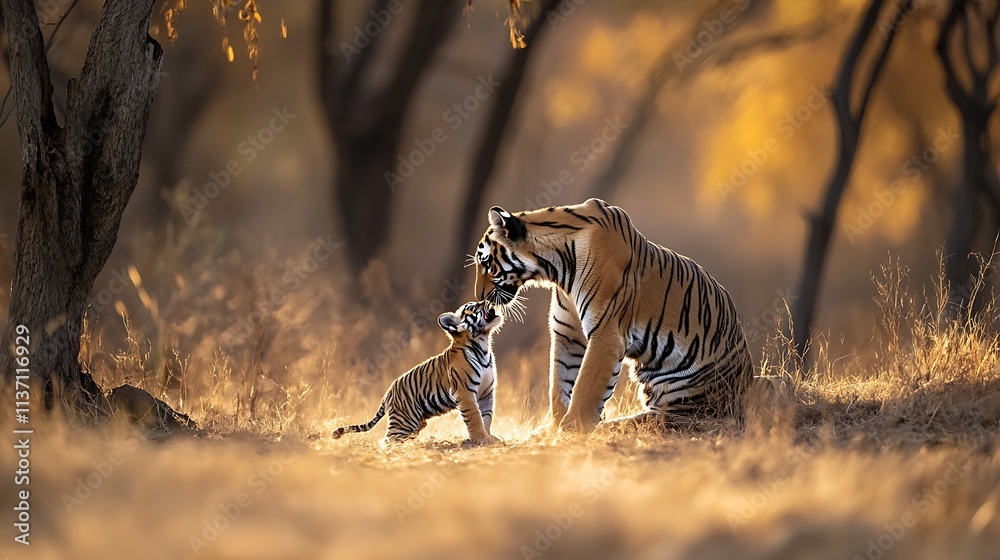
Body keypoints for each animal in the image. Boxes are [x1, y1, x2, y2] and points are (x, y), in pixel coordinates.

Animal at [332, 301, 503, 444]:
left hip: (416, 422)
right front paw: (481, 439)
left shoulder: (486, 392)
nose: (489, 300)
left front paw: (489, 437)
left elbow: (486, 416)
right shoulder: (464, 391)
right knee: (387, 440)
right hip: (404, 421)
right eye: (476, 306)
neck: (483, 345)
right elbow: (475, 416)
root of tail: (388, 393)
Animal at [473, 198, 754, 433]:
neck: (556, 268)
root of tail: (746, 391)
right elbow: (559, 384)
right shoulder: (568, 334)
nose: (479, 296)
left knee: (657, 420)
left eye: (486, 264)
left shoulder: (606, 334)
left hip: (687, 401)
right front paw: (554, 427)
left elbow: (585, 388)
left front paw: (569, 430)